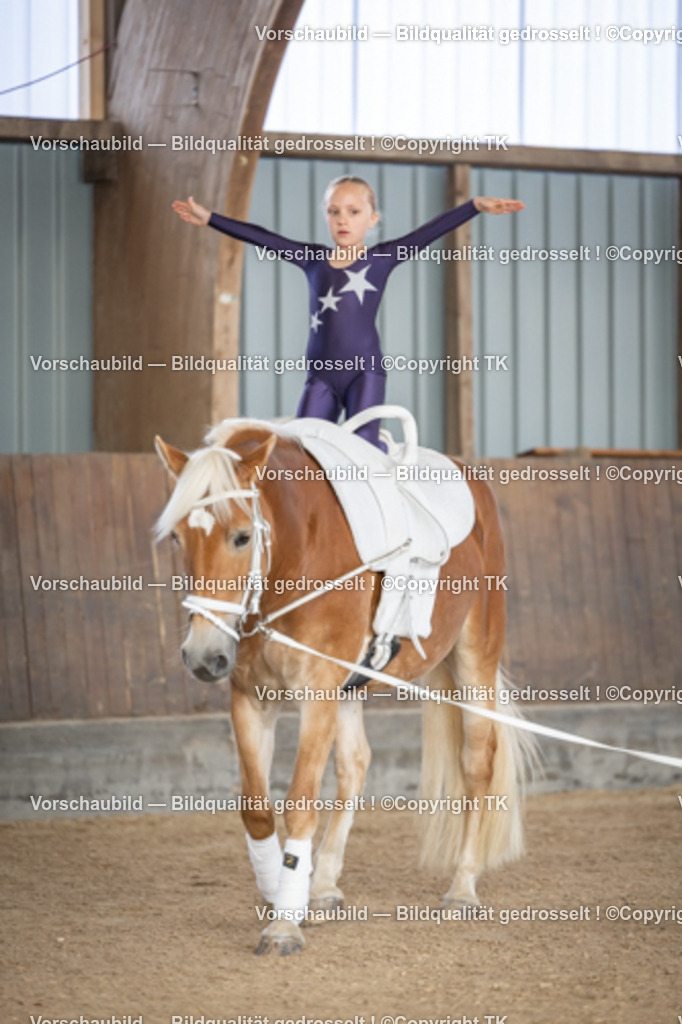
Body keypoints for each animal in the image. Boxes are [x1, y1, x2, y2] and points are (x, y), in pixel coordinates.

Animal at [154, 416, 531, 955]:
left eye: (242, 537)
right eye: (177, 540)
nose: (203, 657)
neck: (295, 553)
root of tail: (470, 477)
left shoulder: (317, 691)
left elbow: (299, 801)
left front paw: (283, 925)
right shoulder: (251, 698)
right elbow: (256, 808)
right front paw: (279, 891)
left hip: (475, 657)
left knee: (477, 763)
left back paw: (462, 887)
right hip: (348, 690)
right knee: (355, 765)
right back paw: (323, 885)